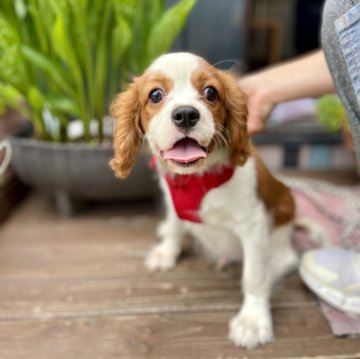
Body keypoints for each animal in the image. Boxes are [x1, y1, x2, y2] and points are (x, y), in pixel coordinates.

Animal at [109, 52, 298, 350]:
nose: (186, 114)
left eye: (210, 93)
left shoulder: (253, 225)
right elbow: (175, 226)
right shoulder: (173, 200)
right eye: (155, 95)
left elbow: (254, 276)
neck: (195, 179)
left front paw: (252, 320)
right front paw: (166, 251)